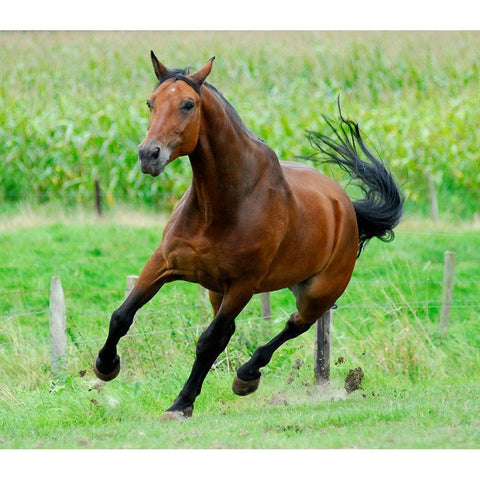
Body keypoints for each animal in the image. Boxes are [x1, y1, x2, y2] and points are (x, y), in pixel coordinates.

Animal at [92, 53, 404, 420]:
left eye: (188, 104)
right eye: (150, 102)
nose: (148, 155)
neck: (221, 207)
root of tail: (346, 207)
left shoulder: (243, 285)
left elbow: (207, 342)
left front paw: (181, 404)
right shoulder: (164, 264)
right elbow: (122, 316)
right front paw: (105, 366)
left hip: (317, 293)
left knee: (294, 325)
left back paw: (247, 375)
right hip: (220, 290)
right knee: (234, 330)